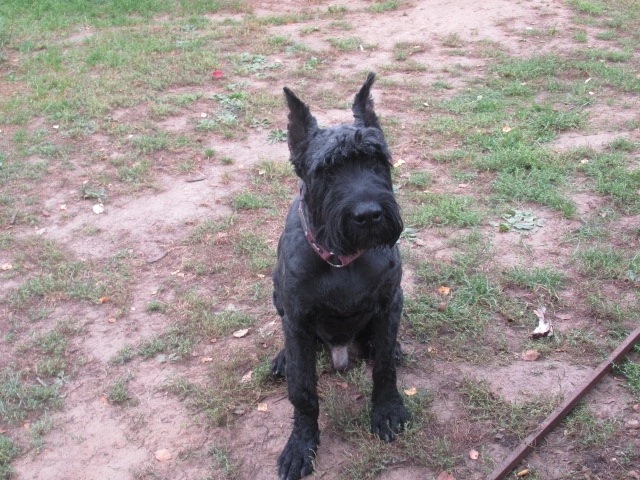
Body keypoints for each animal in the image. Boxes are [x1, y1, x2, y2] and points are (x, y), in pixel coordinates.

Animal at [270, 72, 409, 480]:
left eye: (377, 160)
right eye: (327, 171)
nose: (369, 214)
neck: (341, 260)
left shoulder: (389, 303)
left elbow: (383, 368)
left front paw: (387, 411)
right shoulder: (298, 319)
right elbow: (303, 391)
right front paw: (301, 446)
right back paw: (282, 359)